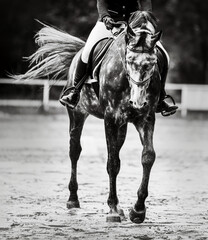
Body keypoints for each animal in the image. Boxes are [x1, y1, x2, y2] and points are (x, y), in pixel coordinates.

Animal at [14, 10, 164, 224]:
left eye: (153, 63)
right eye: (128, 60)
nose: (137, 102)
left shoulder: (146, 118)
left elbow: (147, 157)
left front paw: (138, 210)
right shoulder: (110, 118)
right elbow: (112, 163)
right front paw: (113, 209)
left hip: (122, 125)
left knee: (115, 151)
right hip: (77, 113)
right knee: (75, 151)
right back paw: (73, 200)